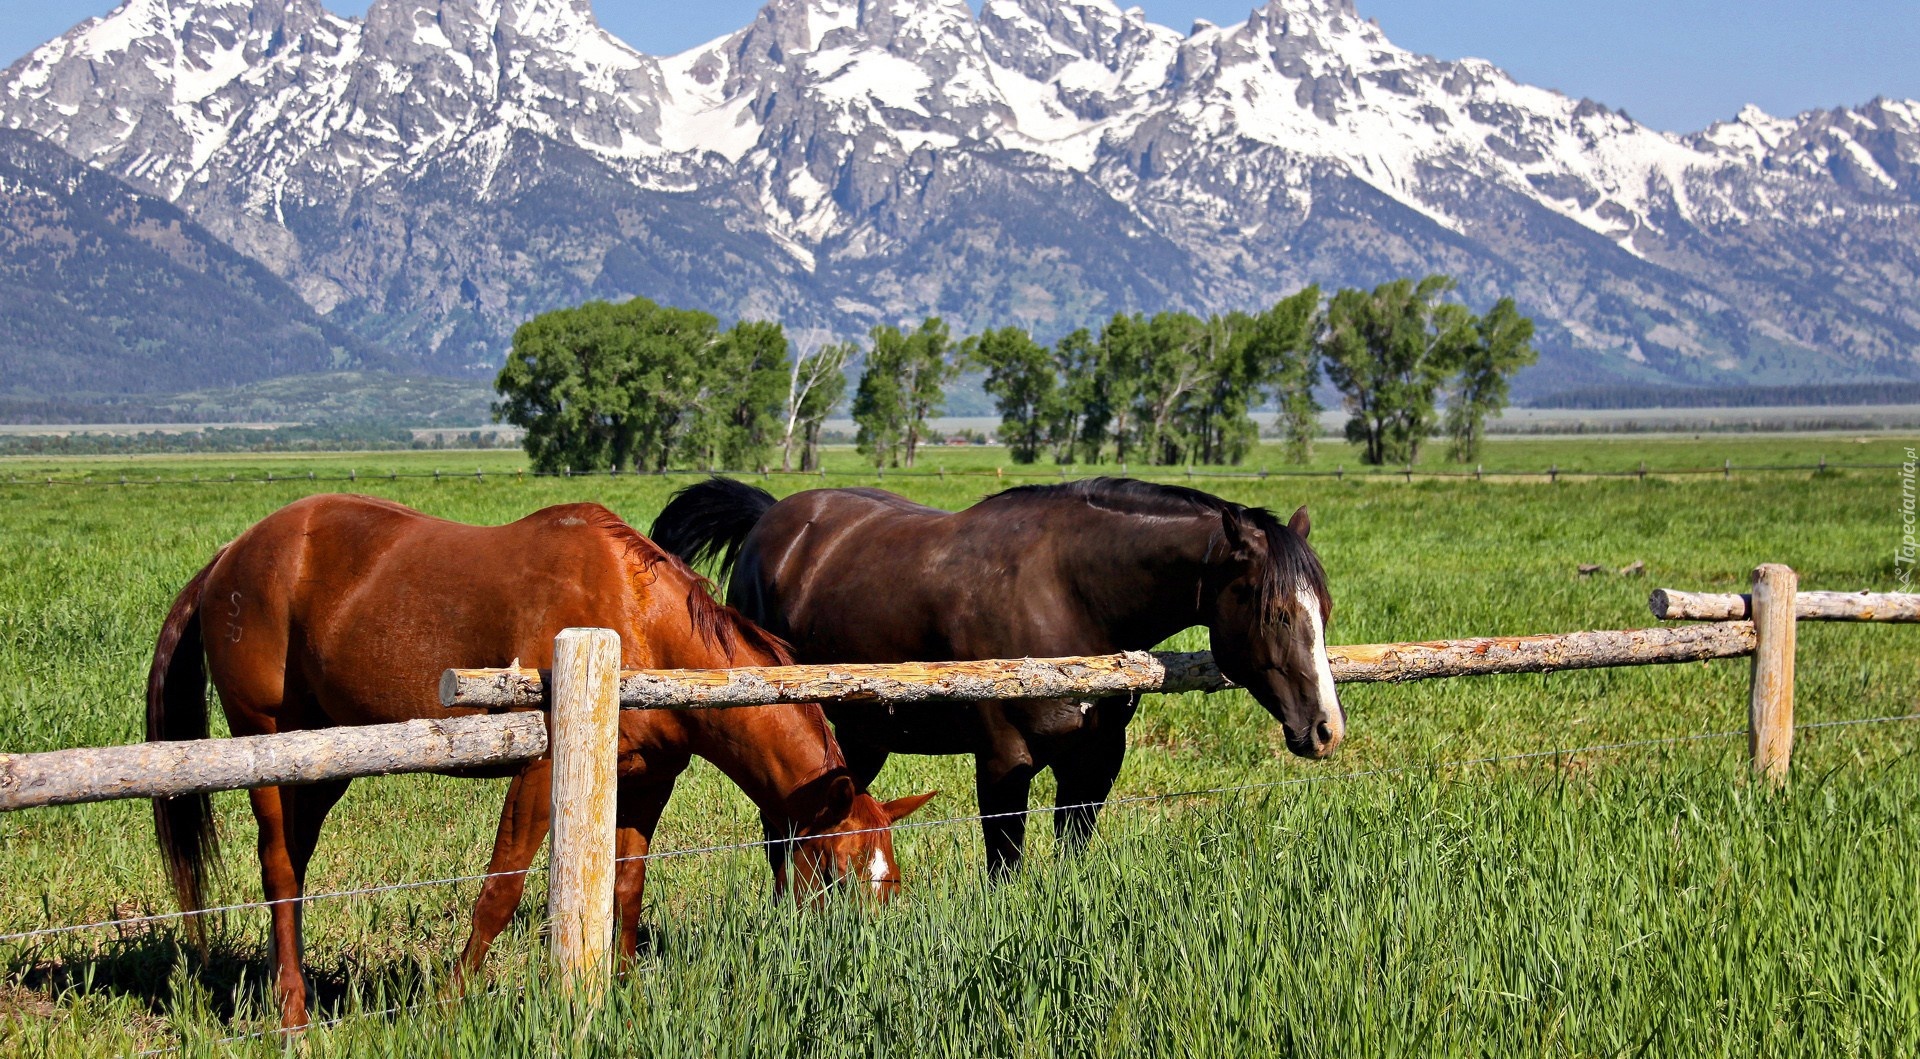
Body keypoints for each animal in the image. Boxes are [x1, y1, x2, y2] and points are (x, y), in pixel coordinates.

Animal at [145, 494, 933, 1028]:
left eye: (891, 880)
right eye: (836, 871)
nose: (864, 963)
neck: (640, 622)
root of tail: (230, 556)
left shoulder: (646, 782)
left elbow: (625, 887)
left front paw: (622, 988)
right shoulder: (539, 772)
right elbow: (499, 891)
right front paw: (447, 1004)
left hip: (323, 756)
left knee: (296, 868)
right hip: (269, 743)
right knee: (279, 869)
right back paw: (293, 1013)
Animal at [652, 477, 1344, 878]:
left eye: (1325, 607)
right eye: (1276, 611)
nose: (1325, 729)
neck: (1069, 595)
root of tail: (772, 520)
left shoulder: (1093, 761)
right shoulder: (1004, 762)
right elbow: (1004, 866)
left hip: (861, 739)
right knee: (778, 832)